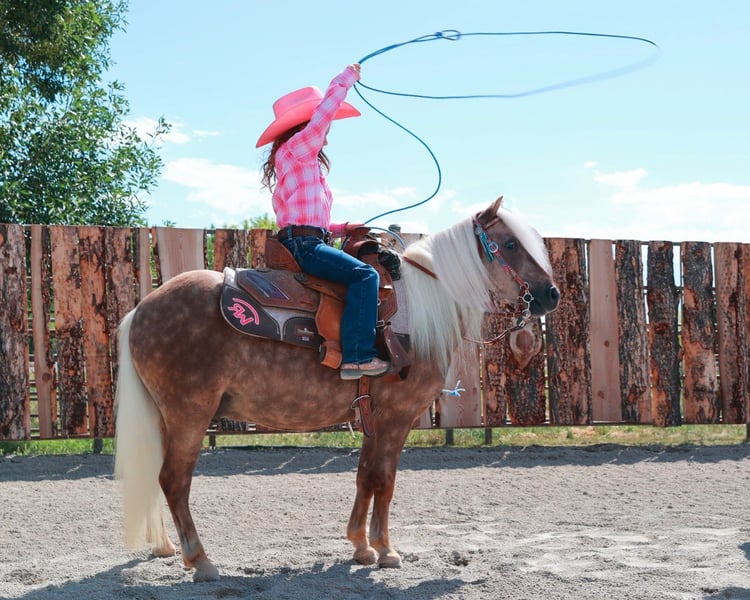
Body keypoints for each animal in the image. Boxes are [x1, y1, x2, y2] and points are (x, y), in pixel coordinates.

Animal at [113, 196, 560, 582]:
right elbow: (384, 479)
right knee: (174, 480)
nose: (550, 295)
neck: (421, 309)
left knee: (159, 476)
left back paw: (166, 547)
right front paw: (386, 550)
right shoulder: (397, 417)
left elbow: (364, 476)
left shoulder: (372, 416)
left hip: (167, 416)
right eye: (509, 243)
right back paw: (201, 560)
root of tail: (141, 309)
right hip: (190, 413)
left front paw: (361, 547)